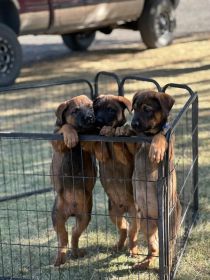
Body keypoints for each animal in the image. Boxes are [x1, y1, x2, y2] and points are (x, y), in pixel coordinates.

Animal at [50, 95, 97, 266]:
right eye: (75, 111)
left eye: (91, 107)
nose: (90, 118)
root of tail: (72, 210)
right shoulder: (56, 139)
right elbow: (65, 126)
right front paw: (71, 135)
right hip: (57, 216)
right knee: (63, 237)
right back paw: (60, 258)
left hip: (84, 216)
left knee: (74, 234)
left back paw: (76, 253)